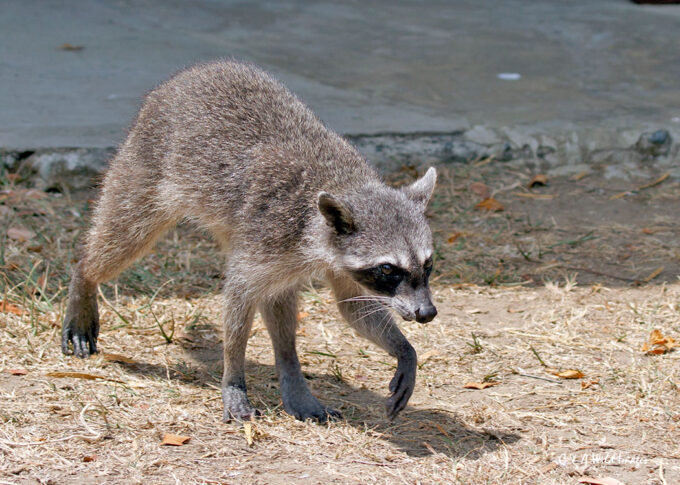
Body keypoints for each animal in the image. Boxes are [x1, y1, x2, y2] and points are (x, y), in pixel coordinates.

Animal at [62, 61, 437, 422]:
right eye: (388, 269)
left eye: (428, 263)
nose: (427, 313)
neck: (345, 184)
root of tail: (195, 71)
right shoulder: (271, 233)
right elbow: (239, 298)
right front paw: (233, 376)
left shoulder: (337, 257)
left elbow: (353, 308)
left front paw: (404, 350)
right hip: (145, 167)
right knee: (124, 236)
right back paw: (85, 277)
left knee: (279, 299)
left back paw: (290, 370)